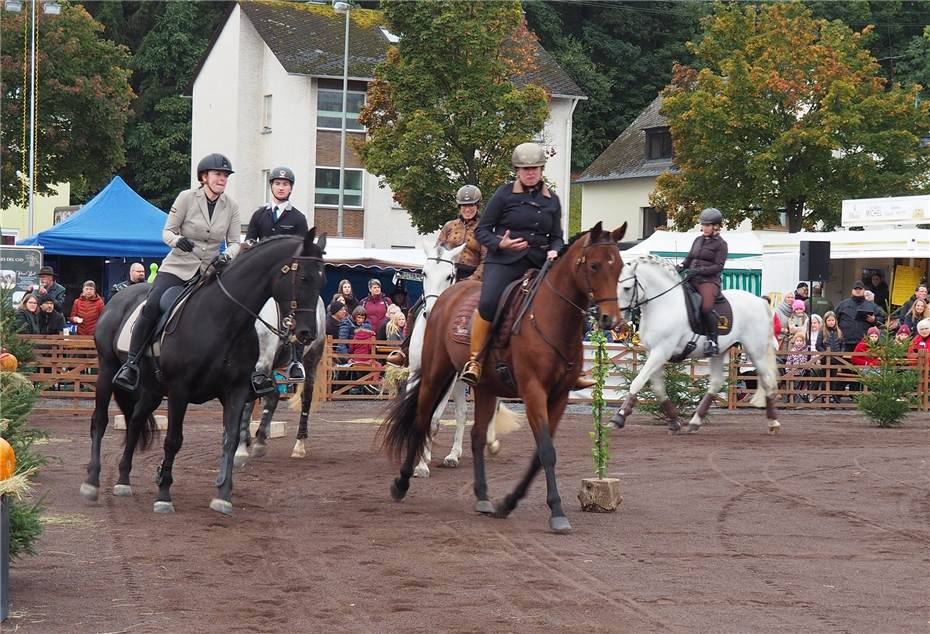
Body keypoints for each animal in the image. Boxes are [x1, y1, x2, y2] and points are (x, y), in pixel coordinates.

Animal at [80, 230, 326, 512]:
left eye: (323, 280)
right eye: (305, 278)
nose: (307, 333)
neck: (223, 319)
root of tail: (119, 297)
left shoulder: (236, 390)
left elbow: (230, 438)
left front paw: (223, 494)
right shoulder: (180, 391)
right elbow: (174, 439)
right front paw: (163, 494)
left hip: (153, 389)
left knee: (135, 421)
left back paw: (122, 480)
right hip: (107, 371)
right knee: (100, 421)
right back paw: (92, 482)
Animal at [408, 239, 520, 476]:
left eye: (449, 276)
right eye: (424, 273)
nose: (431, 312)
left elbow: (434, 419)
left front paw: (421, 465)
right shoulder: (415, 373)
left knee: (487, 408)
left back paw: (486, 444)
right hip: (460, 380)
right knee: (462, 413)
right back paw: (453, 455)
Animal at [612, 254, 780, 432]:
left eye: (627, 288)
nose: (617, 319)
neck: (664, 305)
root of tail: (760, 302)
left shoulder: (661, 351)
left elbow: (637, 382)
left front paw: (619, 416)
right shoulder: (652, 352)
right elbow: (657, 388)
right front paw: (674, 421)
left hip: (756, 350)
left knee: (767, 379)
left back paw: (773, 423)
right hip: (720, 352)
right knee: (716, 382)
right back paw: (695, 421)